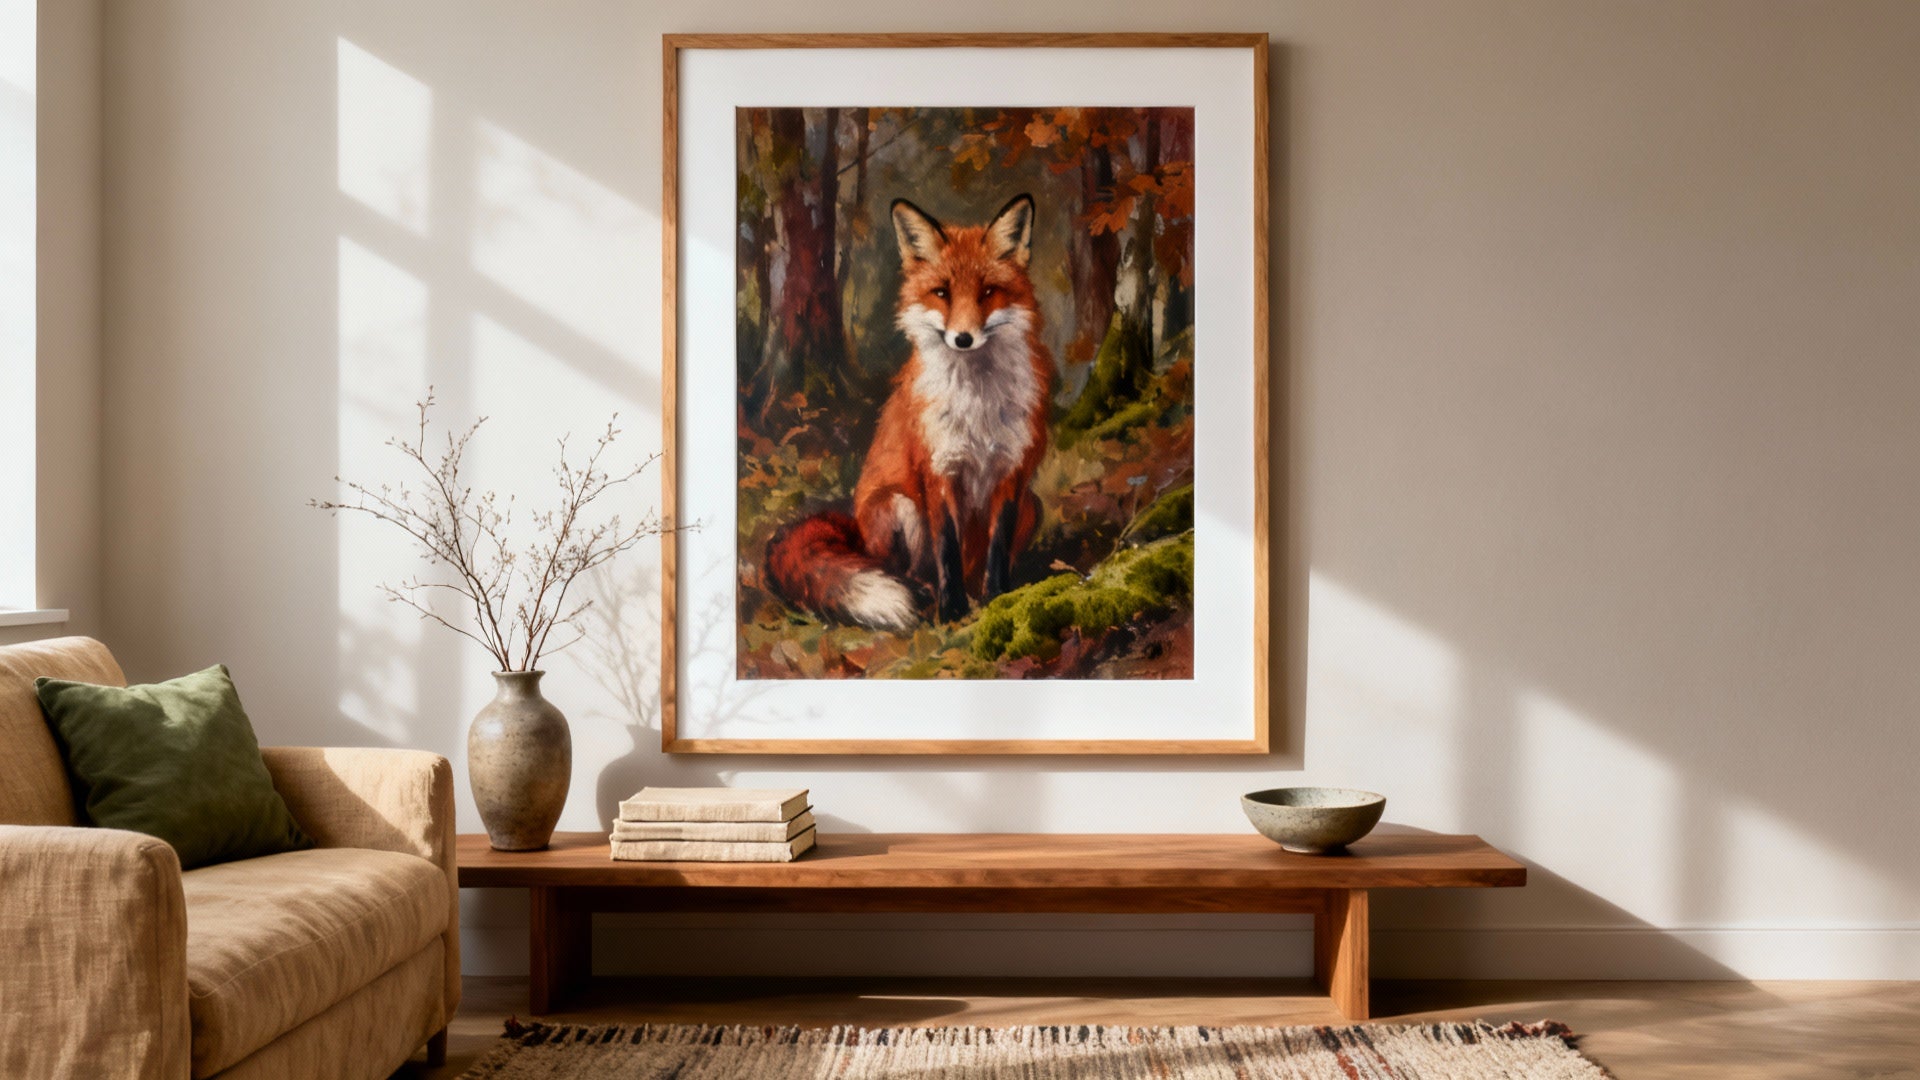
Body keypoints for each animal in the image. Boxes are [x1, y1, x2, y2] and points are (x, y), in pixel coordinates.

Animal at [763, 193, 1053, 630]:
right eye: (942, 293)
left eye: (988, 292)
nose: (963, 338)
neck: (977, 403)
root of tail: (854, 526)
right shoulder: (938, 470)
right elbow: (947, 548)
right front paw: (952, 611)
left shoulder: (1012, 471)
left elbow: (998, 549)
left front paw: (998, 598)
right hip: (900, 505)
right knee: (897, 568)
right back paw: (921, 592)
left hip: (1033, 507)